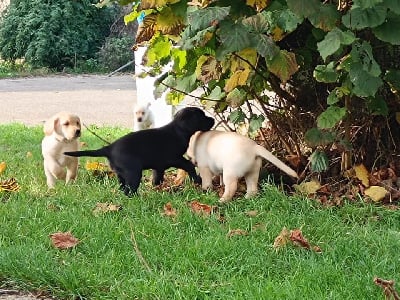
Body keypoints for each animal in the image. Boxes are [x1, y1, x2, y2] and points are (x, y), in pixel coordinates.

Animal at [65, 106, 216, 196]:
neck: (178, 130)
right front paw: (197, 179)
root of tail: (109, 148)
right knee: (129, 190)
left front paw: (157, 188)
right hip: (134, 172)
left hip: (121, 174)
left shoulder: (159, 166)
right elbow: (189, 165)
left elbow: (157, 177)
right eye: (201, 116)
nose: (213, 119)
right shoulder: (175, 158)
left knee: (123, 188)